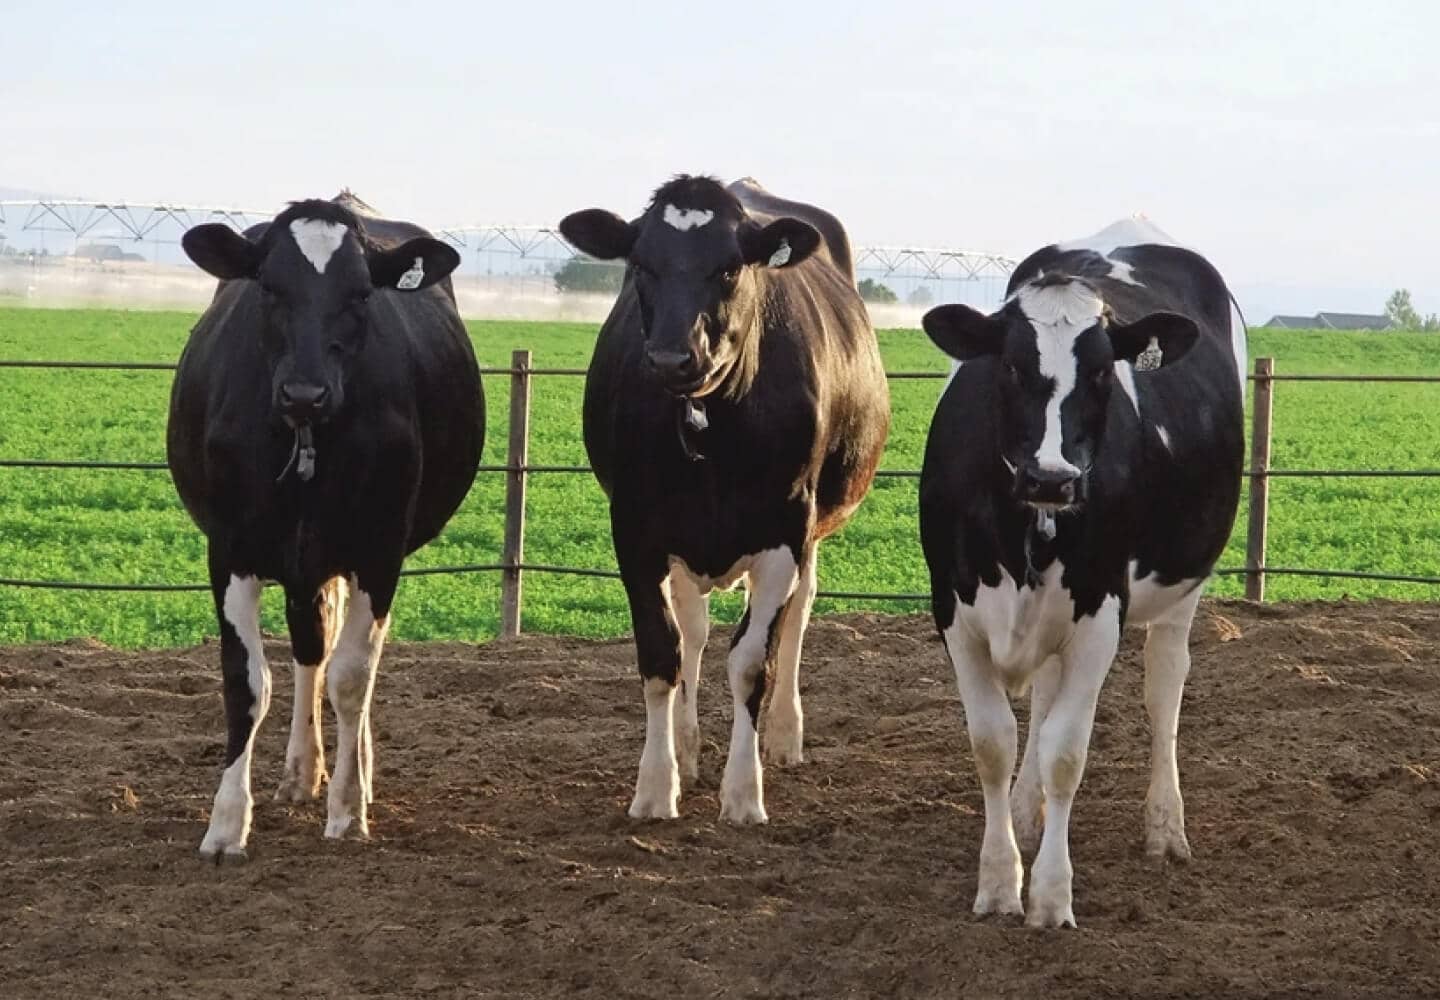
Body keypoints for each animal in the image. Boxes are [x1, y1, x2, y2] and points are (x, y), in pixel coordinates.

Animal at [168, 192, 484, 861]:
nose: (305, 393)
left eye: (362, 293)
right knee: (311, 647)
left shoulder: (379, 550)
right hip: (303, 562)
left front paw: (347, 809)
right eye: (268, 286)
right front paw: (226, 824)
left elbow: (352, 678)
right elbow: (247, 683)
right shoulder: (229, 550)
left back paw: (354, 772)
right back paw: (301, 771)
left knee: (347, 662)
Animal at [559, 175, 890, 823]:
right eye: (640, 264)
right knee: (693, 630)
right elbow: (662, 655)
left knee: (798, 615)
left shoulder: (786, 534)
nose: (671, 357)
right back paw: (686, 750)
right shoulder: (635, 531)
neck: (710, 425)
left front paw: (743, 792)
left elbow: (751, 663)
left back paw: (784, 735)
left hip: (809, 533)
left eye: (731, 267)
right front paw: (656, 786)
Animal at [918, 223, 1245, 926]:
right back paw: (1026, 813)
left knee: (1164, 689)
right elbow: (994, 742)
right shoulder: (953, 607)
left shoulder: (1100, 613)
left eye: (1100, 372)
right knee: (1042, 697)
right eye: (1011, 365)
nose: (1053, 477)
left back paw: (1164, 826)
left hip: (1183, 586)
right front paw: (999, 880)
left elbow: (1067, 752)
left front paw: (1049, 894)